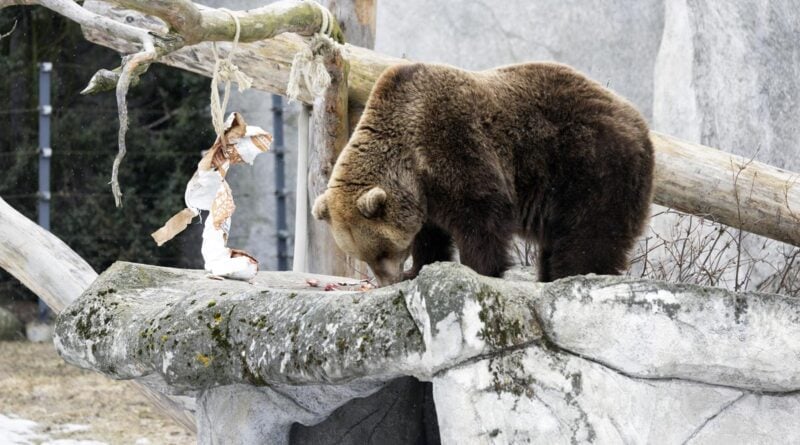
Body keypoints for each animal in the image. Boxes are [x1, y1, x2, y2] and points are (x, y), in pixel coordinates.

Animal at [310, 61, 652, 284]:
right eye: (363, 256)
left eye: (382, 251)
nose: (388, 281)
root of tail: (640, 123)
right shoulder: (424, 195)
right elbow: (431, 233)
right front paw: (419, 269)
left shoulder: (453, 143)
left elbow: (481, 215)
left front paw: (478, 269)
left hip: (590, 167)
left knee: (590, 234)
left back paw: (574, 275)